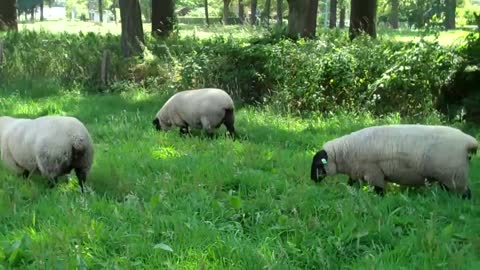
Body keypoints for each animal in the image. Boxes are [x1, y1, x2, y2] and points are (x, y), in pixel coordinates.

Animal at [310, 124, 478, 198]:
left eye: (318, 164)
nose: (312, 180)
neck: (345, 152)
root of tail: (469, 142)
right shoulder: (357, 171)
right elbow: (352, 184)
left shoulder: (373, 172)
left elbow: (378, 189)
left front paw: (380, 199)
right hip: (450, 176)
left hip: (455, 175)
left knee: (465, 192)